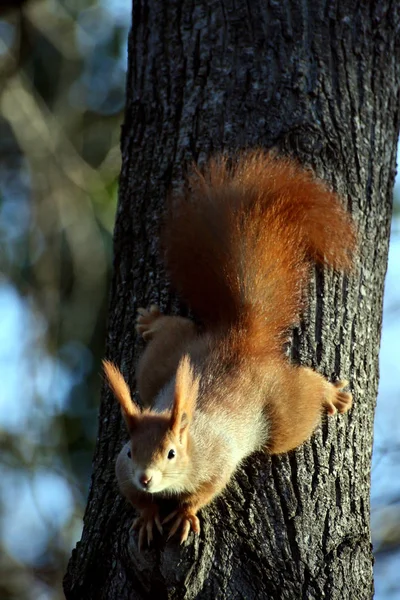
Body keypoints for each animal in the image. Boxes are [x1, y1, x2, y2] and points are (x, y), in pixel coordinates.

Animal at [103, 150, 356, 548]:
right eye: (131, 450)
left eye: (171, 453)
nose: (146, 477)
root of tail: (240, 337)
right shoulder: (121, 469)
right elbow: (132, 494)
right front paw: (146, 516)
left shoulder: (217, 458)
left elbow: (208, 488)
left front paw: (185, 514)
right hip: (165, 360)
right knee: (172, 333)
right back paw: (152, 321)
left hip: (282, 413)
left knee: (303, 396)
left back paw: (331, 393)